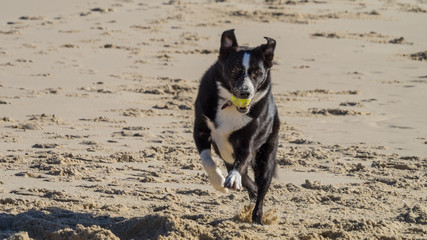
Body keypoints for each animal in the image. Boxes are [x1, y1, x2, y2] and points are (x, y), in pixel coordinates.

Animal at [194, 29, 280, 224]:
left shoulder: (248, 143)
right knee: (247, 178)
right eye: (234, 68)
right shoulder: (200, 131)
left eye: (257, 71)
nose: (245, 92)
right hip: (227, 154)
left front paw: (233, 179)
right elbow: (207, 159)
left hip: (266, 157)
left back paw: (257, 218)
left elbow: (241, 161)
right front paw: (220, 183)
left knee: (261, 187)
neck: (230, 105)